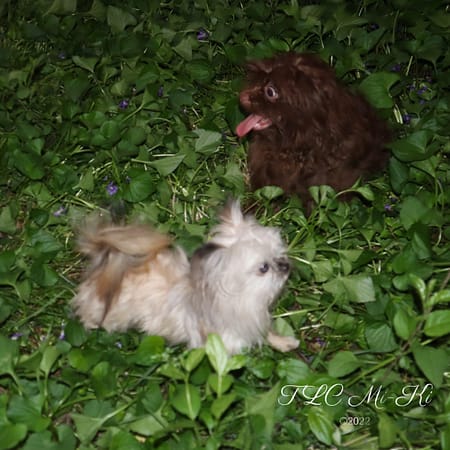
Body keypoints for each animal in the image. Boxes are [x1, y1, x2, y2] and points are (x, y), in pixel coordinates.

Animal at [72, 200, 299, 354]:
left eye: (278, 253)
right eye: (264, 268)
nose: (286, 266)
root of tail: (108, 256)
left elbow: (268, 333)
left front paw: (285, 343)